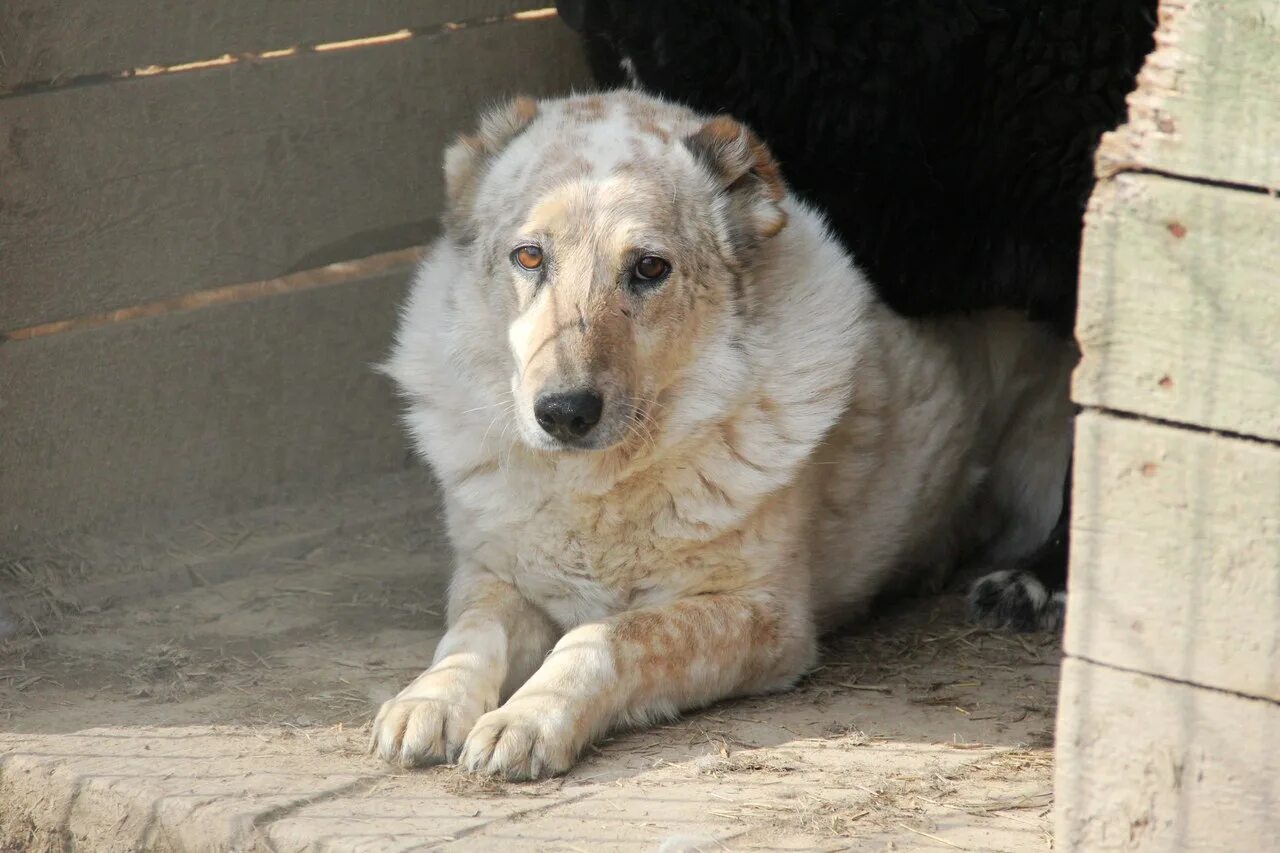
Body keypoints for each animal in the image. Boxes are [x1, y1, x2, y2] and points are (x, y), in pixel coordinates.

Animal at [368, 89, 1070, 773]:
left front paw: (529, 717)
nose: (564, 412)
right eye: (530, 256)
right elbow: (470, 637)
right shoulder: (495, 578)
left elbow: (606, 636)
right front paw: (429, 698)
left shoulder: (760, 615)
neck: (599, 492)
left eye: (650, 268)